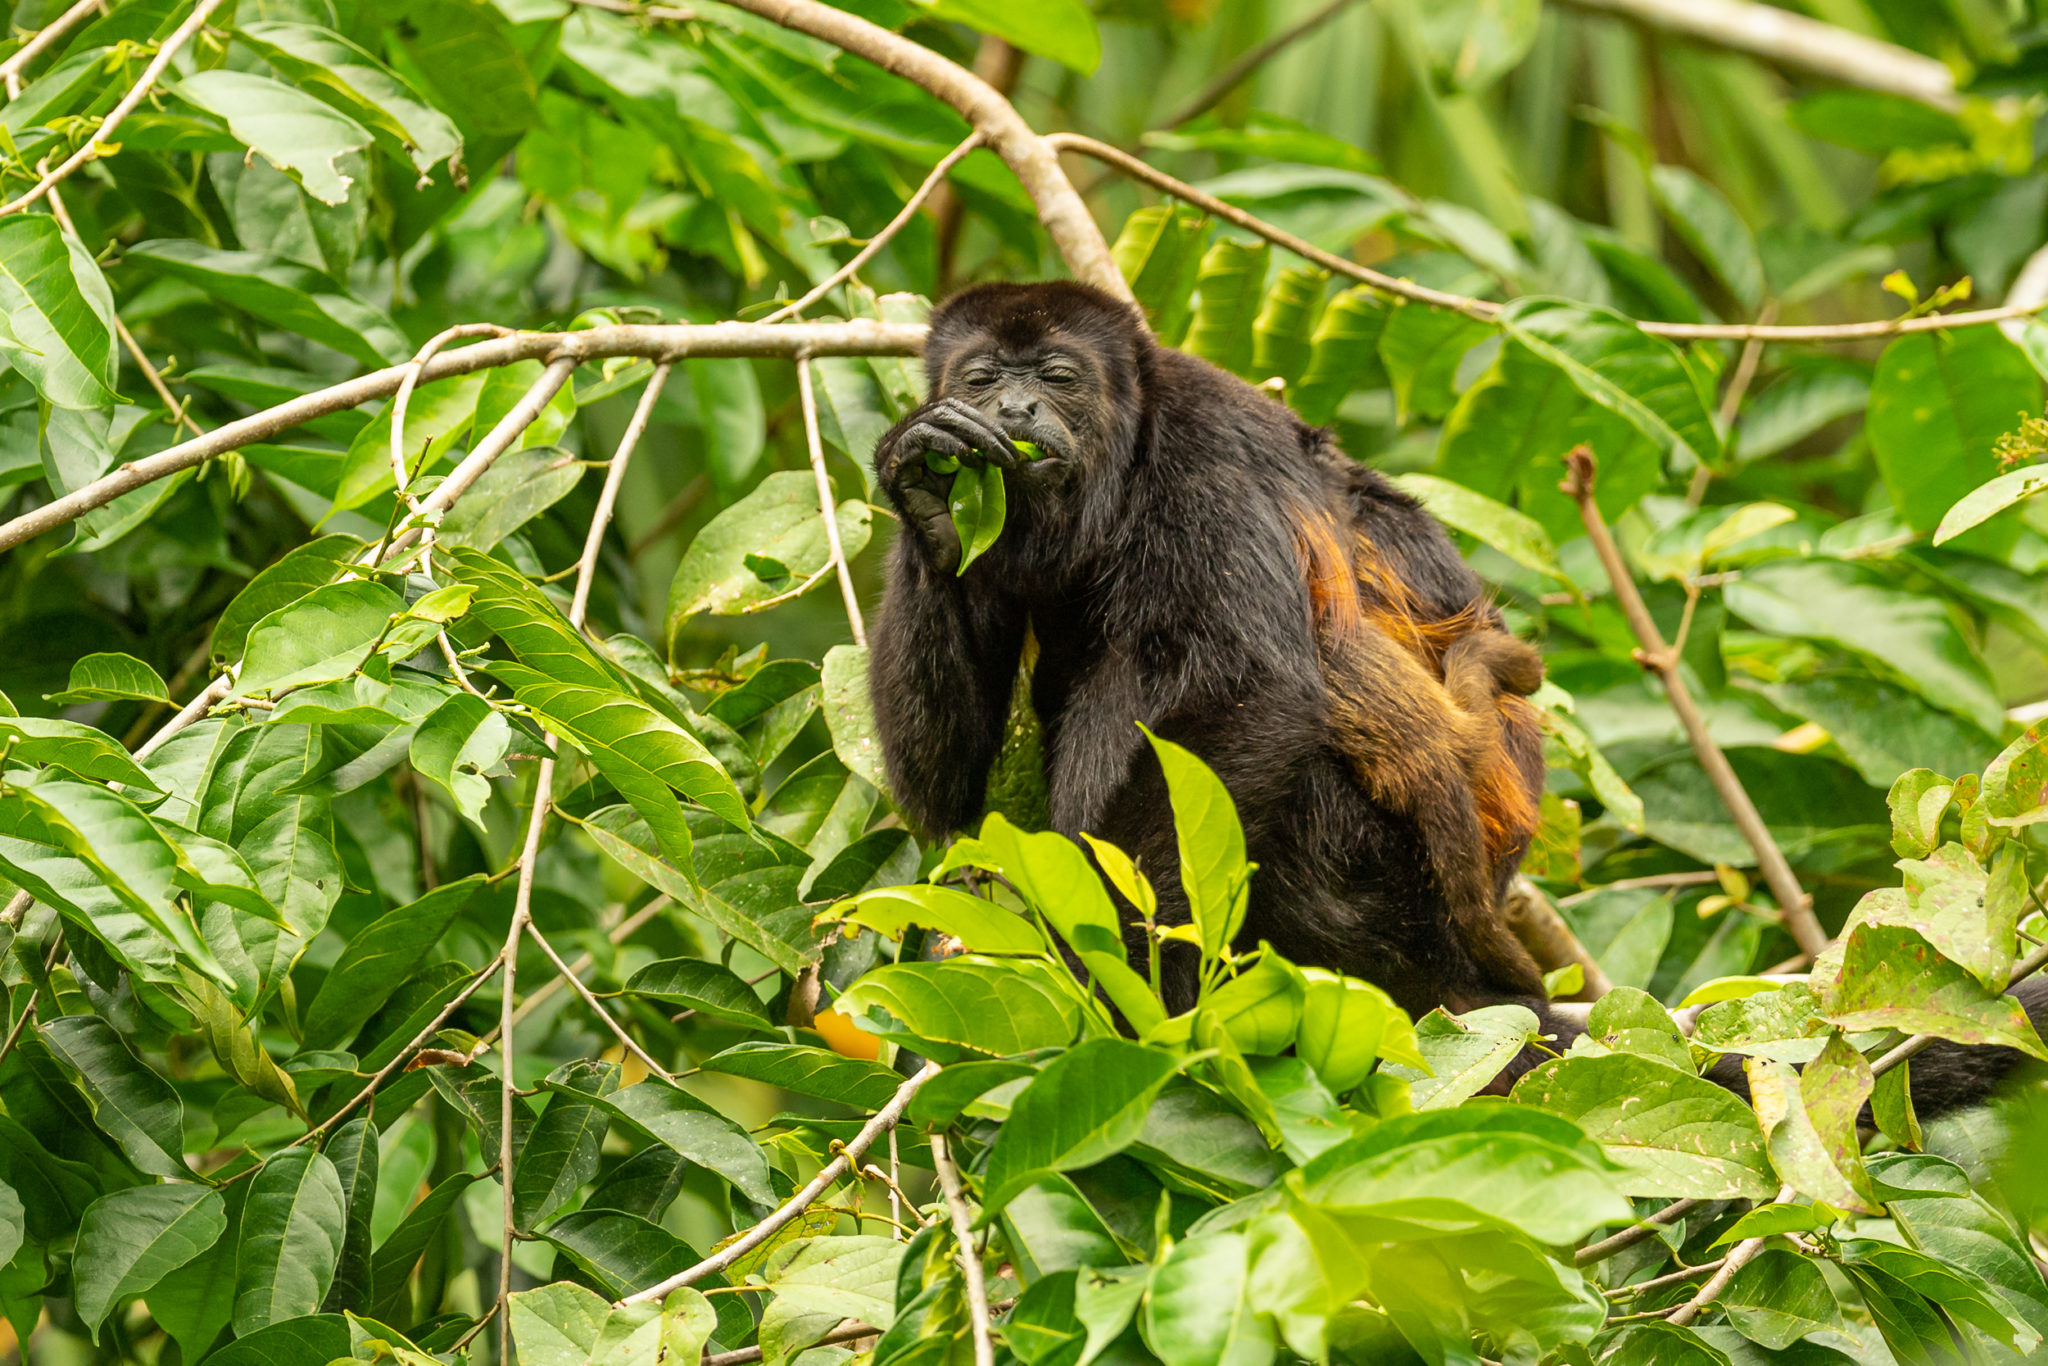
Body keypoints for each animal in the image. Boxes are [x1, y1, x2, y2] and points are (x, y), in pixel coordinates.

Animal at [868, 282, 2048, 1114]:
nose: (1017, 407)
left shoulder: (1205, 461)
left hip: (1366, 866)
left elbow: (1250, 690)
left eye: (1059, 376)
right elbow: (954, 786)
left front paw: (1133, 992)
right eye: (982, 378)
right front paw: (922, 488)